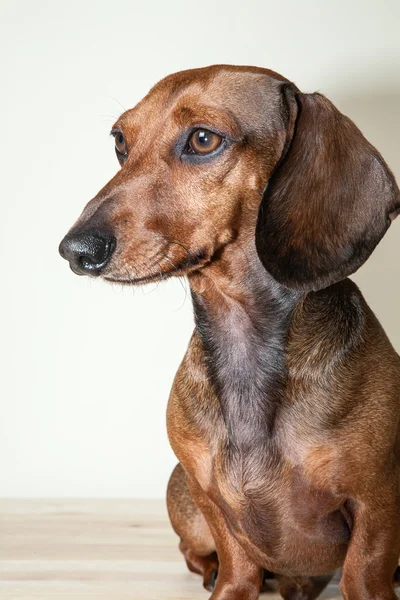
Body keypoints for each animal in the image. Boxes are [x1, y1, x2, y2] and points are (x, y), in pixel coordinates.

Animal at [58, 63, 400, 596]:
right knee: (193, 550)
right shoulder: (207, 494)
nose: (75, 250)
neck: (243, 342)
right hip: (180, 493)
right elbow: (238, 562)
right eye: (120, 142)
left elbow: (364, 571)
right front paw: (229, 583)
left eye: (202, 139)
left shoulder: (377, 502)